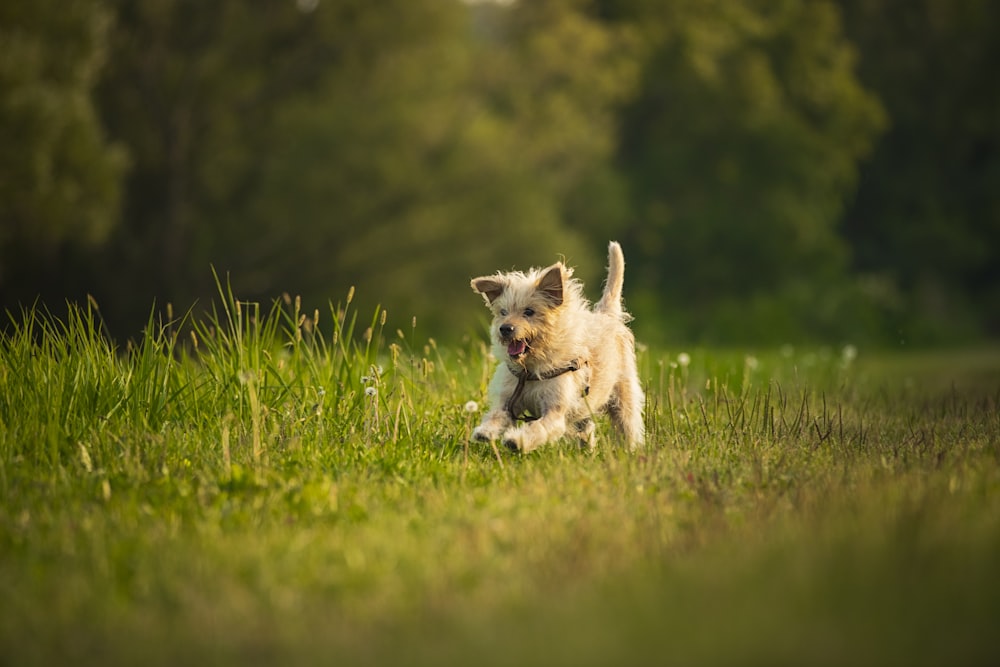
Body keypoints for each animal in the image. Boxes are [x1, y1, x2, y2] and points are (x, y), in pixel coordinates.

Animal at [466, 241, 644, 454]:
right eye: (503, 312)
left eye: (529, 312)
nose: (505, 328)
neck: (529, 369)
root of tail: (606, 315)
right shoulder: (508, 401)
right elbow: (496, 415)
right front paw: (485, 431)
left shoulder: (555, 411)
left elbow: (538, 428)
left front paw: (517, 441)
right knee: (586, 428)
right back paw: (587, 450)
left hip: (623, 397)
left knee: (628, 424)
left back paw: (630, 450)